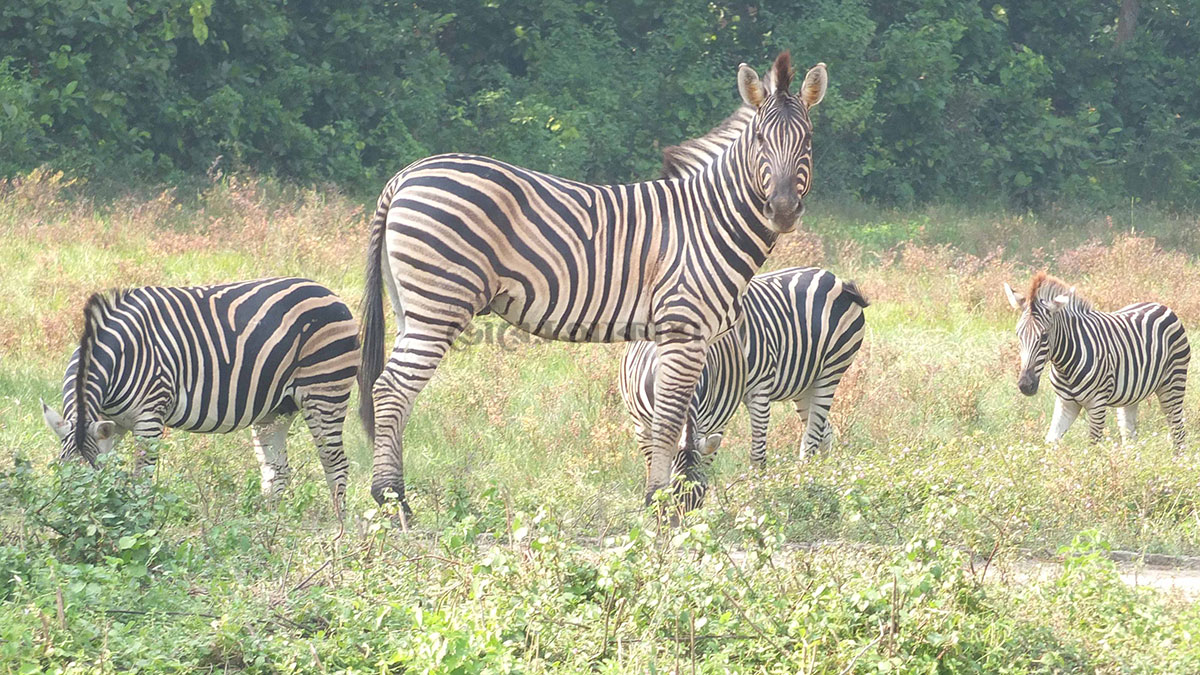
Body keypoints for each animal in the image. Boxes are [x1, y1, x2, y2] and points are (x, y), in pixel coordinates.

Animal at [43, 276, 360, 511]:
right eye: (61, 479)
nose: (76, 522)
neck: (121, 354)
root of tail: (330, 293)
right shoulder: (112, 423)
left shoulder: (150, 417)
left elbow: (141, 479)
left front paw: (140, 520)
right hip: (277, 409)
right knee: (276, 470)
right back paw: (269, 527)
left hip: (325, 391)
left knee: (336, 463)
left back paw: (339, 530)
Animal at [360, 52, 830, 514]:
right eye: (760, 141)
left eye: (807, 142)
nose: (782, 210)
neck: (709, 221)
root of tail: (405, 175)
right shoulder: (684, 327)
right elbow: (668, 421)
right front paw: (657, 504)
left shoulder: (675, 336)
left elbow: (674, 421)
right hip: (439, 303)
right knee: (392, 390)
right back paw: (393, 502)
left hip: (410, 306)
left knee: (395, 392)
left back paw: (391, 499)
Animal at [619, 263, 873, 468]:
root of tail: (837, 281)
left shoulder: (753, 391)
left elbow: (756, 456)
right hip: (805, 384)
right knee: (822, 431)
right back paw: (822, 474)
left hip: (831, 370)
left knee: (811, 437)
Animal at [1003, 270, 1190, 449]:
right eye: (1018, 334)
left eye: (1044, 336)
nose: (1025, 385)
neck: (1065, 365)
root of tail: (1161, 305)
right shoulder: (1065, 403)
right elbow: (1051, 442)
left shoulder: (1097, 404)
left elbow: (1093, 448)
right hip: (1132, 395)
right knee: (1129, 437)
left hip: (1173, 384)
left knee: (1178, 431)